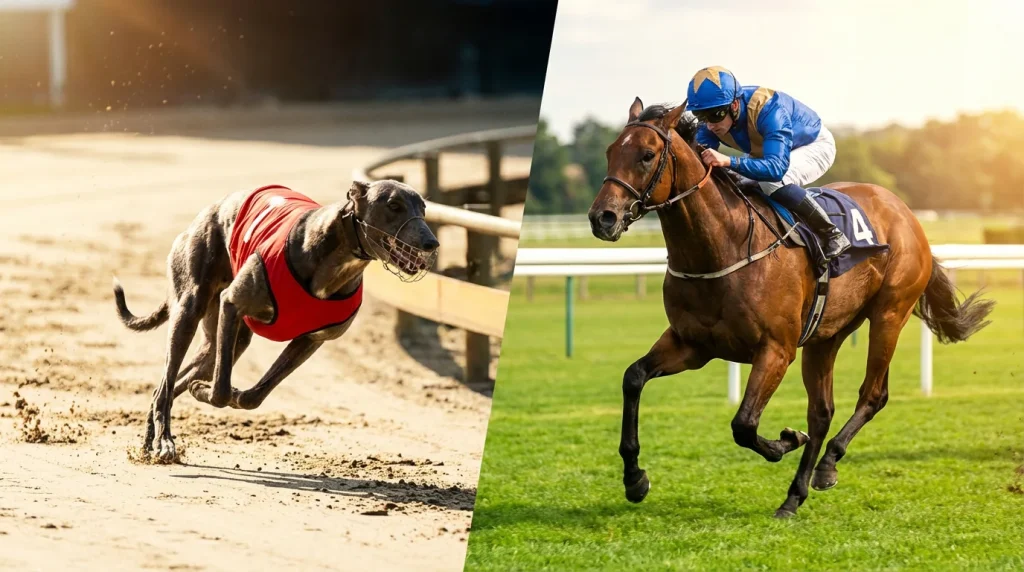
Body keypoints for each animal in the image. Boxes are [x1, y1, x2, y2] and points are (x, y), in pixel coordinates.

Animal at [587, 97, 995, 517]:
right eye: (610, 152)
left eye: (647, 155)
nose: (603, 217)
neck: (724, 245)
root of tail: (906, 213)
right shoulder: (692, 345)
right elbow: (633, 377)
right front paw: (634, 478)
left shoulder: (776, 349)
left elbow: (744, 424)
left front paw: (786, 440)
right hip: (825, 335)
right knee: (822, 411)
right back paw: (794, 495)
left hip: (890, 314)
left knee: (872, 395)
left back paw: (828, 464)